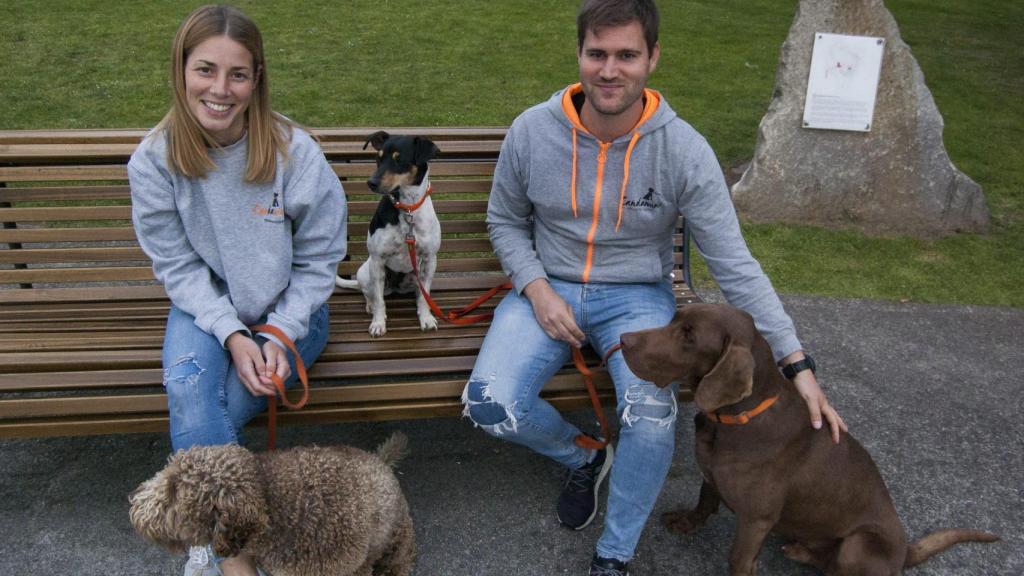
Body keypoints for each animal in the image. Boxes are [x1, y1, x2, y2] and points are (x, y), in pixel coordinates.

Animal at [335, 130, 440, 336]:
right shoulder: (377, 260)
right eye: (378, 157)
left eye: (399, 160)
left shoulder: (430, 258)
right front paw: (378, 323)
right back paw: (370, 306)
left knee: (419, 292)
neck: (407, 209)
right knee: (370, 294)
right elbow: (379, 302)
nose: (371, 182)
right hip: (365, 272)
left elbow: (425, 297)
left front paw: (426, 318)